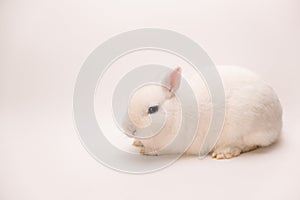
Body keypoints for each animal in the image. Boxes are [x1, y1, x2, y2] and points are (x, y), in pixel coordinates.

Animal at [122, 65, 282, 159]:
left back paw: (224, 152)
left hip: (245, 128)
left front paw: (145, 151)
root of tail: (278, 122)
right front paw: (137, 143)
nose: (129, 130)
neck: (173, 113)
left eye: (153, 109)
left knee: (248, 144)